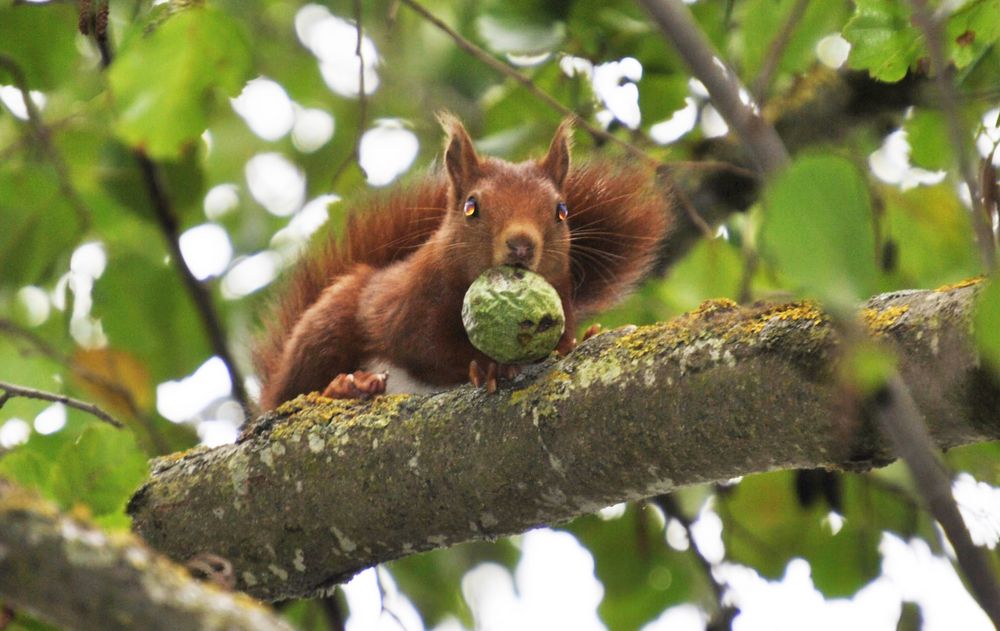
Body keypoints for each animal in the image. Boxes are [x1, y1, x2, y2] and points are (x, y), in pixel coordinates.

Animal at [256, 115, 672, 410]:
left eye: (562, 211)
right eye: (472, 207)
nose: (521, 244)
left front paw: (583, 338)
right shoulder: (411, 305)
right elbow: (426, 349)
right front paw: (489, 366)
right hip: (326, 327)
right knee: (294, 392)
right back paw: (345, 387)